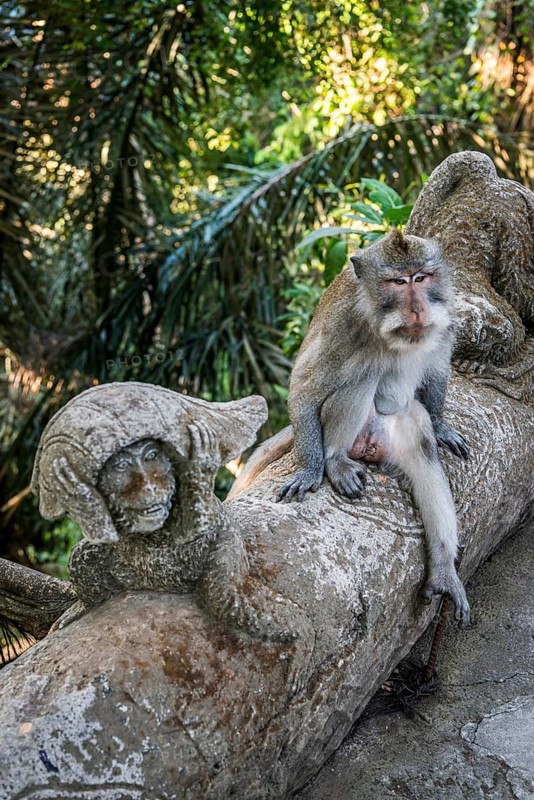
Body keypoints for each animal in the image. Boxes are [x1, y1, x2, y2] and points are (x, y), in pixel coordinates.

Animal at [229, 229, 470, 625]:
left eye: (421, 278)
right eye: (398, 282)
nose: (418, 309)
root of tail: (369, 444)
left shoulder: (447, 314)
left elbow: (437, 370)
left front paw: (441, 425)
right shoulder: (342, 323)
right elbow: (305, 387)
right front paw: (310, 469)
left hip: (397, 432)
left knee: (422, 447)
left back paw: (443, 570)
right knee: (362, 376)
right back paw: (335, 460)